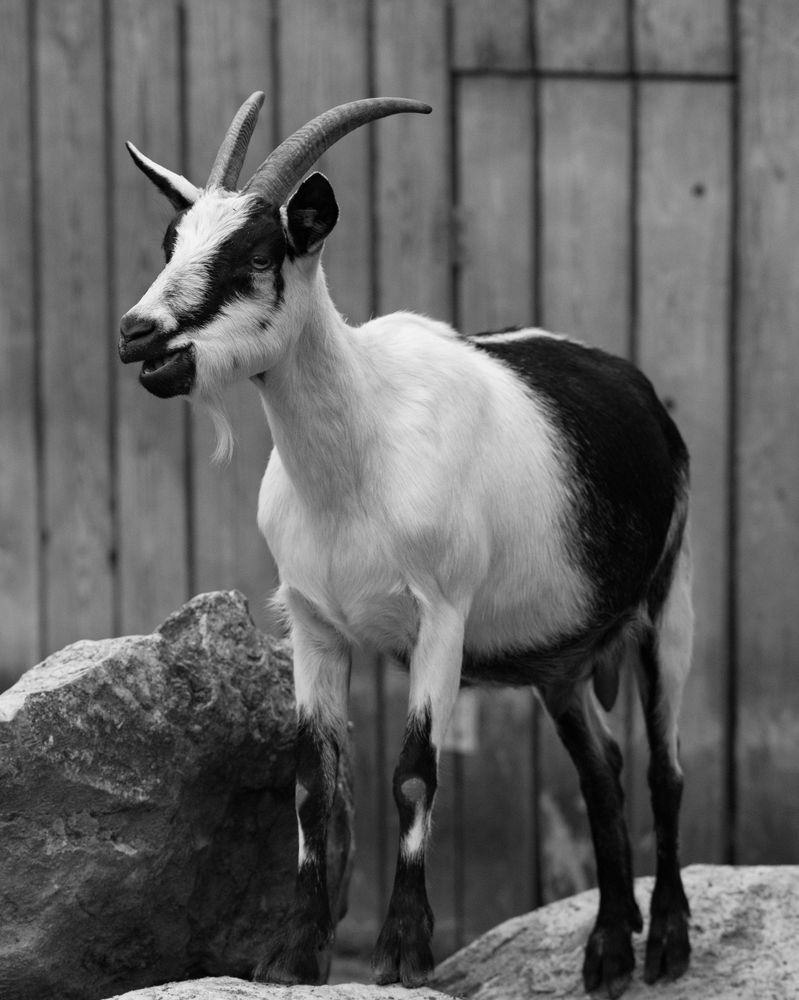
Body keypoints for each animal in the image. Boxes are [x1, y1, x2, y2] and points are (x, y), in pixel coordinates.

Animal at [119, 94, 692, 1000]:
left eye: (258, 253)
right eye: (171, 242)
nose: (139, 336)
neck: (359, 454)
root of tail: (637, 389)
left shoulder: (442, 619)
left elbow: (413, 774)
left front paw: (402, 951)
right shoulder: (312, 626)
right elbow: (313, 784)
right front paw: (293, 955)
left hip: (668, 600)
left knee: (663, 767)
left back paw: (665, 943)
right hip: (561, 664)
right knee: (599, 770)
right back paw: (605, 950)